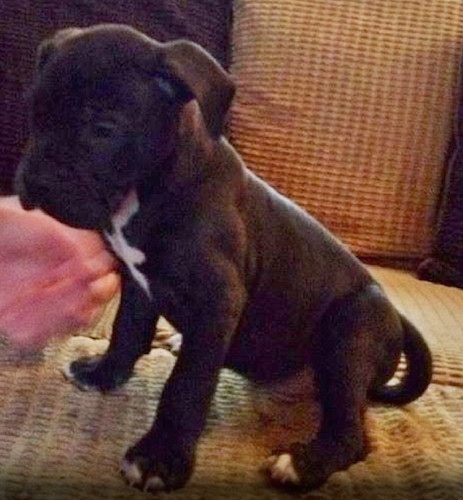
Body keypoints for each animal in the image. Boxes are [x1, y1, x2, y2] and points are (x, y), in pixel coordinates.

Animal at [15, 24, 436, 492]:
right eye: (34, 113)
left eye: (103, 128)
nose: (34, 181)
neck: (151, 187)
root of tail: (396, 320)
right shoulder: (139, 285)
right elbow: (127, 331)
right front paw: (104, 373)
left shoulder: (216, 300)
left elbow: (187, 384)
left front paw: (160, 455)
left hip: (350, 331)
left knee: (352, 433)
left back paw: (303, 461)